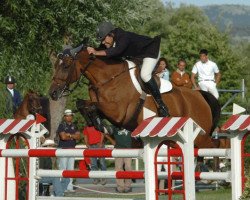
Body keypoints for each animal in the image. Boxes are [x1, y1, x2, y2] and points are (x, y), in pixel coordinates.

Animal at [48, 47, 221, 148]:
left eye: (66, 66)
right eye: (55, 65)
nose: (52, 93)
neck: (108, 79)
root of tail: (200, 95)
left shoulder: (118, 112)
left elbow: (92, 105)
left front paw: (103, 126)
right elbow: (83, 104)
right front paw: (99, 125)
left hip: (199, 139)